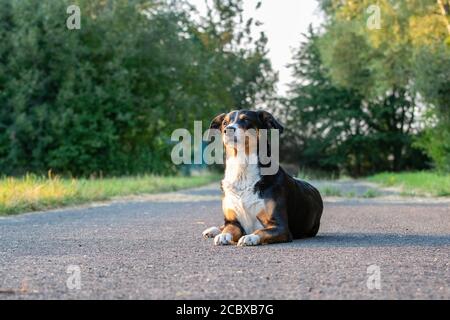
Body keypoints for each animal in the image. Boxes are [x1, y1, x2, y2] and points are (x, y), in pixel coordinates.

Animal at [201, 109, 324, 246]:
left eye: (246, 119)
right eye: (225, 123)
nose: (228, 129)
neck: (241, 170)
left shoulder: (280, 227)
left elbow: (261, 231)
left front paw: (250, 237)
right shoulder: (233, 222)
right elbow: (228, 228)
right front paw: (223, 235)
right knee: (223, 225)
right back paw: (213, 230)